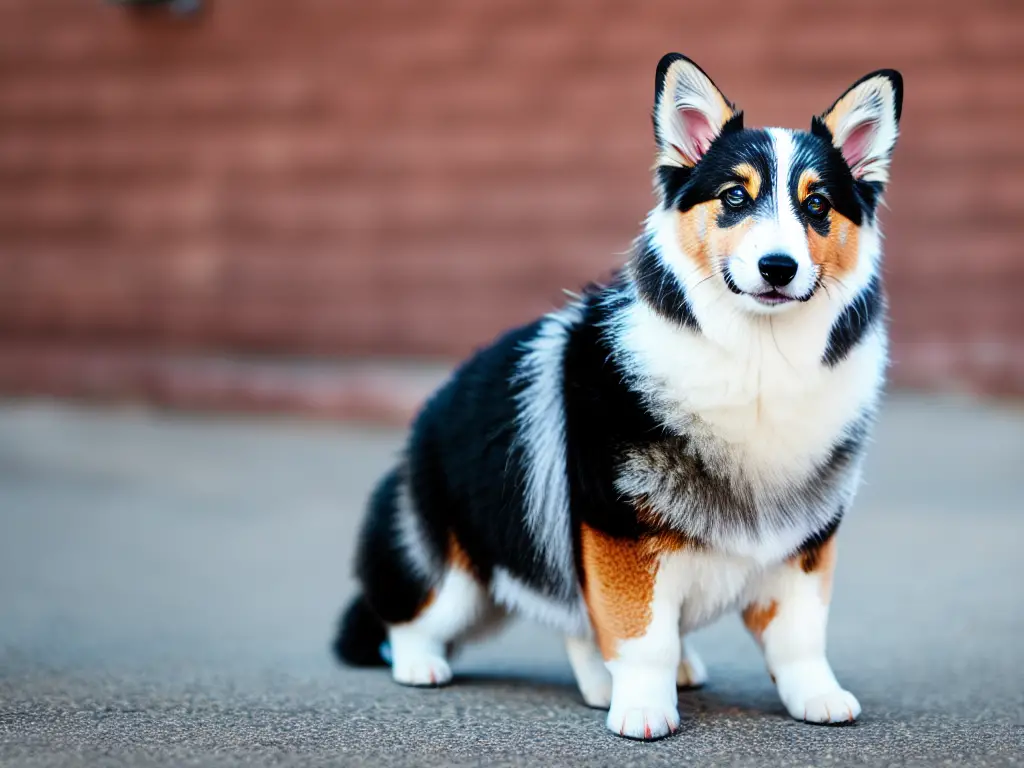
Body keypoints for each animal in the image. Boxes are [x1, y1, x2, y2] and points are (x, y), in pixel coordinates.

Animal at [331, 52, 901, 741]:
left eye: (817, 204)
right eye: (734, 197)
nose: (778, 267)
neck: (757, 356)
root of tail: (432, 408)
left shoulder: (803, 543)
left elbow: (800, 638)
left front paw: (818, 699)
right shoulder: (618, 531)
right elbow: (640, 634)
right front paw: (644, 709)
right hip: (460, 573)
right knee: (415, 611)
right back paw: (422, 665)